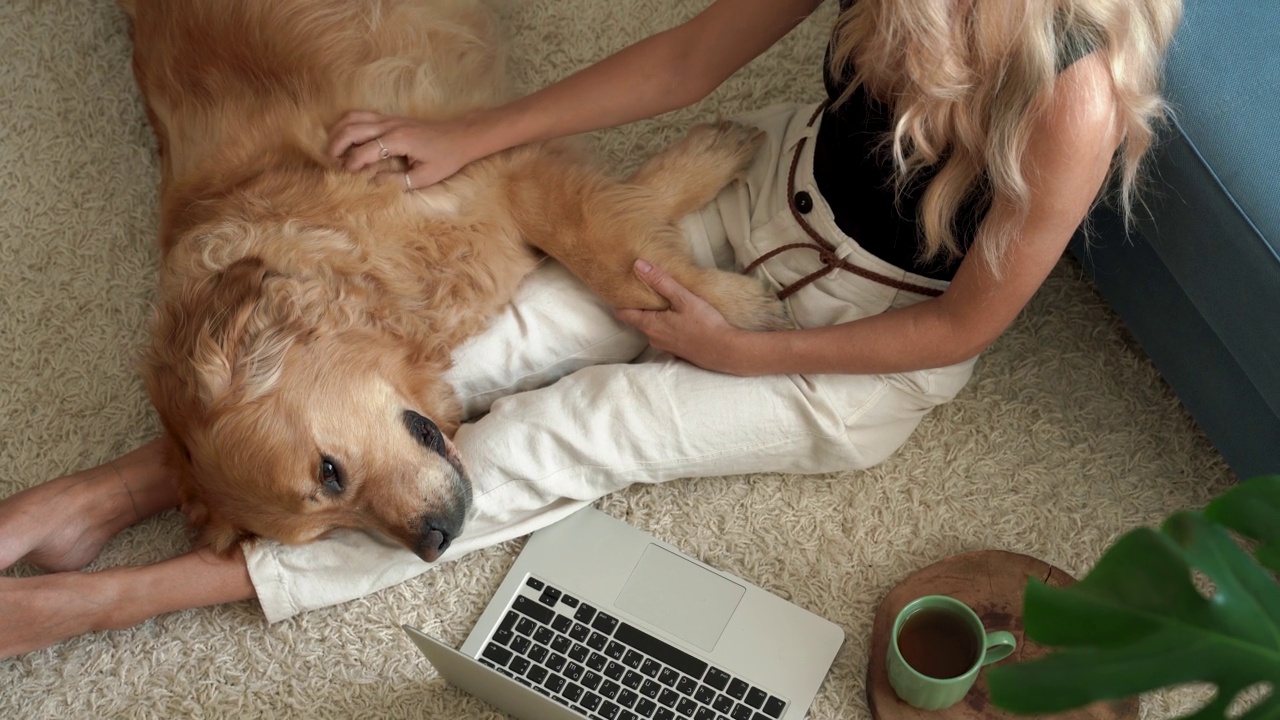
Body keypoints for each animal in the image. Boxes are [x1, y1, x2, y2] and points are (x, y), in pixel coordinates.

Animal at [122, 0, 778, 561]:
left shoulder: (496, 167)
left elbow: (613, 259)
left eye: (328, 472)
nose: (434, 542)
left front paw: (728, 311)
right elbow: (624, 219)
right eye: (331, 528)